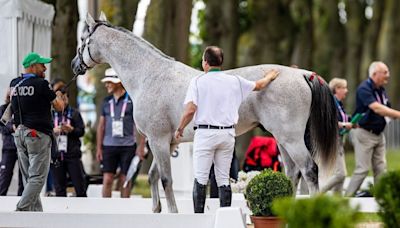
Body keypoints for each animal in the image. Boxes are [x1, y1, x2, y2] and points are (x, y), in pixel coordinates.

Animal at [71, 13, 338, 214]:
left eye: (83, 39)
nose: (75, 65)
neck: (150, 75)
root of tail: (302, 73)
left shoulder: (157, 140)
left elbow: (166, 179)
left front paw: (173, 213)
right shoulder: (166, 142)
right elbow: (154, 176)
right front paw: (157, 211)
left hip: (291, 138)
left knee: (310, 170)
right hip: (282, 139)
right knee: (292, 173)